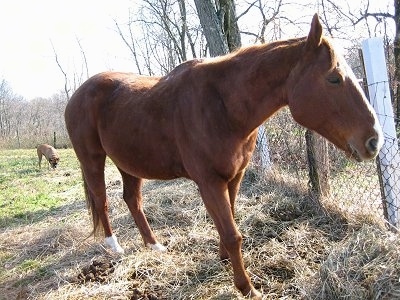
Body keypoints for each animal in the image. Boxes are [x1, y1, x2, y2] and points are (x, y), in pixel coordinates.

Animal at [64, 15, 382, 298]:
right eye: (334, 79)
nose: (374, 140)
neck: (222, 106)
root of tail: (77, 95)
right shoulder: (209, 182)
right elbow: (232, 233)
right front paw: (247, 288)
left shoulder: (233, 176)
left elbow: (229, 219)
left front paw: (224, 259)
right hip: (93, 160)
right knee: (102, 200)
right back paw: (114, 246)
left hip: (129, 162)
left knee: (132, 200)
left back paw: (154, 245)